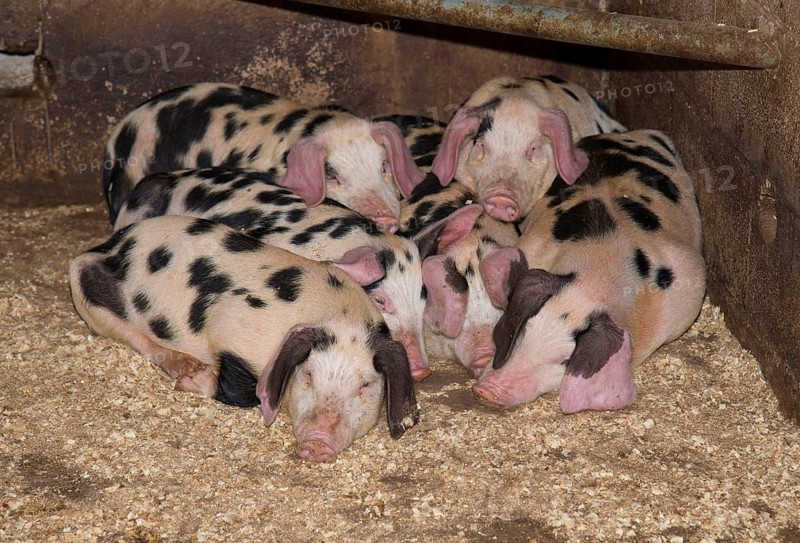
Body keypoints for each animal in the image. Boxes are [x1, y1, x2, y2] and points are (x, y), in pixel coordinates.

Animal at [69, 215, 419, 462]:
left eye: (365, 386)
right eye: (307, 375)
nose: (317, 443)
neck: (336, 312)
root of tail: (109, 247)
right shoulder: (229, 326)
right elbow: (244, 391)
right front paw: (197, 381)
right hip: (86, 290)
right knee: (133, 336)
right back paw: (188, 370)